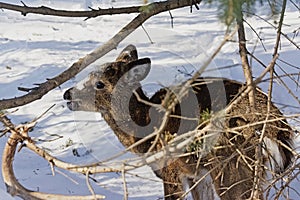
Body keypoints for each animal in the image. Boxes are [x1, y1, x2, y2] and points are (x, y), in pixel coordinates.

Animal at [63, 45, 292, 200]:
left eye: (100, 83)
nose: (67, 94)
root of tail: (276, 130)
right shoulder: (197, 173)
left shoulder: (171, 168)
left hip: (232, 167)